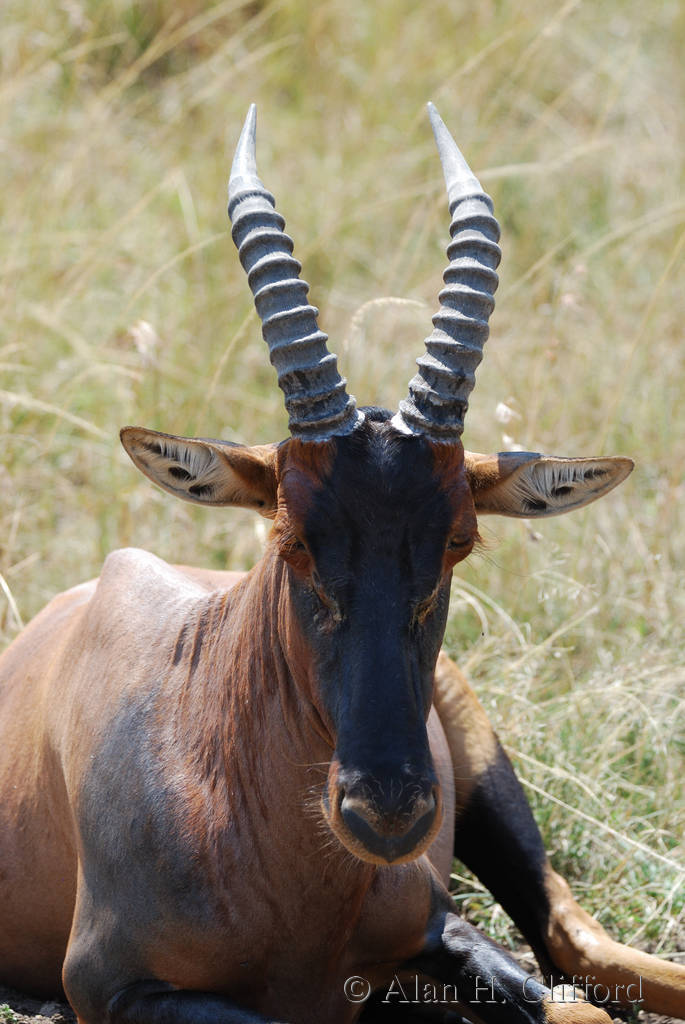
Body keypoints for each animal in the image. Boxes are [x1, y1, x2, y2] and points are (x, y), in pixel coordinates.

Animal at [0, 103, 683, 1024]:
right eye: (290, 535)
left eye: (459, 537)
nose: (387, 811)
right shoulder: (107, 986)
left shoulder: (438, 926)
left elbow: (566, 1004)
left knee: (575, 941)